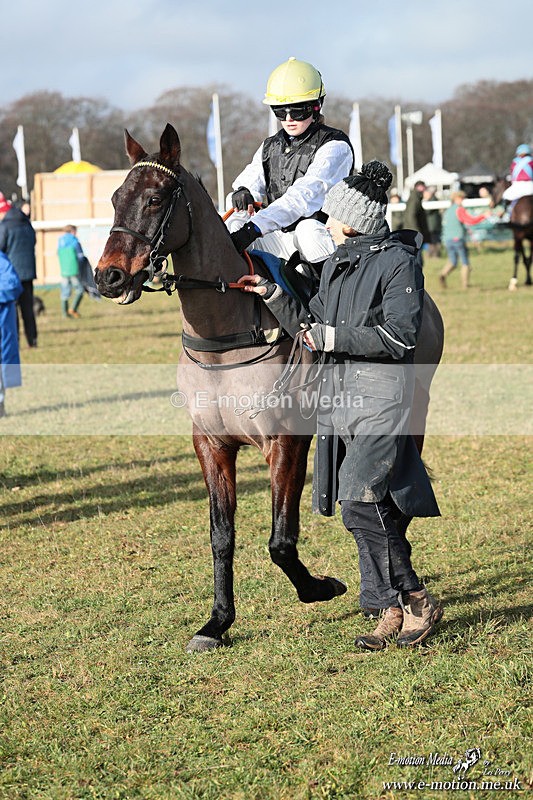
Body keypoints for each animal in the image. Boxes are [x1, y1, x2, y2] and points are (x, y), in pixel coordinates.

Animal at [94, 123, 444, 652]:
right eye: (116, 197)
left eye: (154, 199)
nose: (109, 276)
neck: (226, 338)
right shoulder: (212, 444)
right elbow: (221, 536)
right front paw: (216, 622)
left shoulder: (285, 441)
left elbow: (281, 540)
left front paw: (321, 587)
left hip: (413, 407)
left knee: (391, 494)